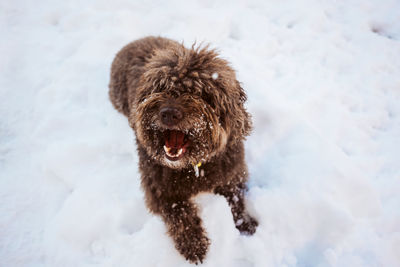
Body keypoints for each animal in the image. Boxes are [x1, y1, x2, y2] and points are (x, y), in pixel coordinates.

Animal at [108, 36, 258, 264]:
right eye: (161, 86)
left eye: (201, 93)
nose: (169, 113)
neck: (193, 167)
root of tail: (135, 41)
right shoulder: (159, 189)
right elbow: (180, 214)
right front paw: (194, 245)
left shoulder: (232, 172)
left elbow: (235, 198)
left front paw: (245, 222)